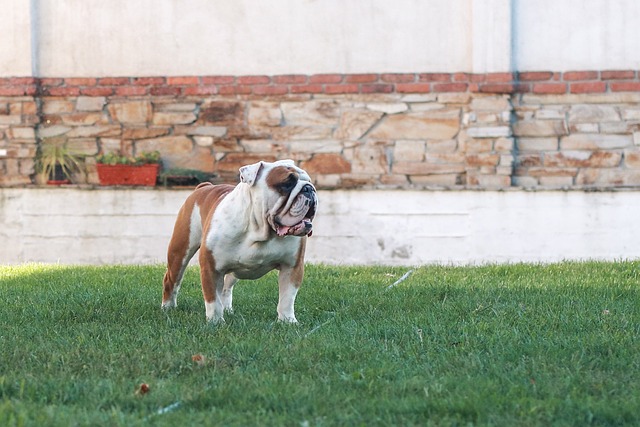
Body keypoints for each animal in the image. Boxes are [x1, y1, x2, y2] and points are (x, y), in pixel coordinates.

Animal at [162, 160, 318, 324]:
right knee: (171, 279)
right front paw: (215, 322)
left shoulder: (292, 267)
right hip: (180, 251)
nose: (309, 188)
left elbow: (287, 298)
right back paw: (168, 307)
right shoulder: (211, 267)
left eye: (309, 181)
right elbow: (213, 299)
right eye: (287, 183)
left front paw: (288, 321)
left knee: (226, 287)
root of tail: (204, 186)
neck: (258, 229)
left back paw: (227, 310)